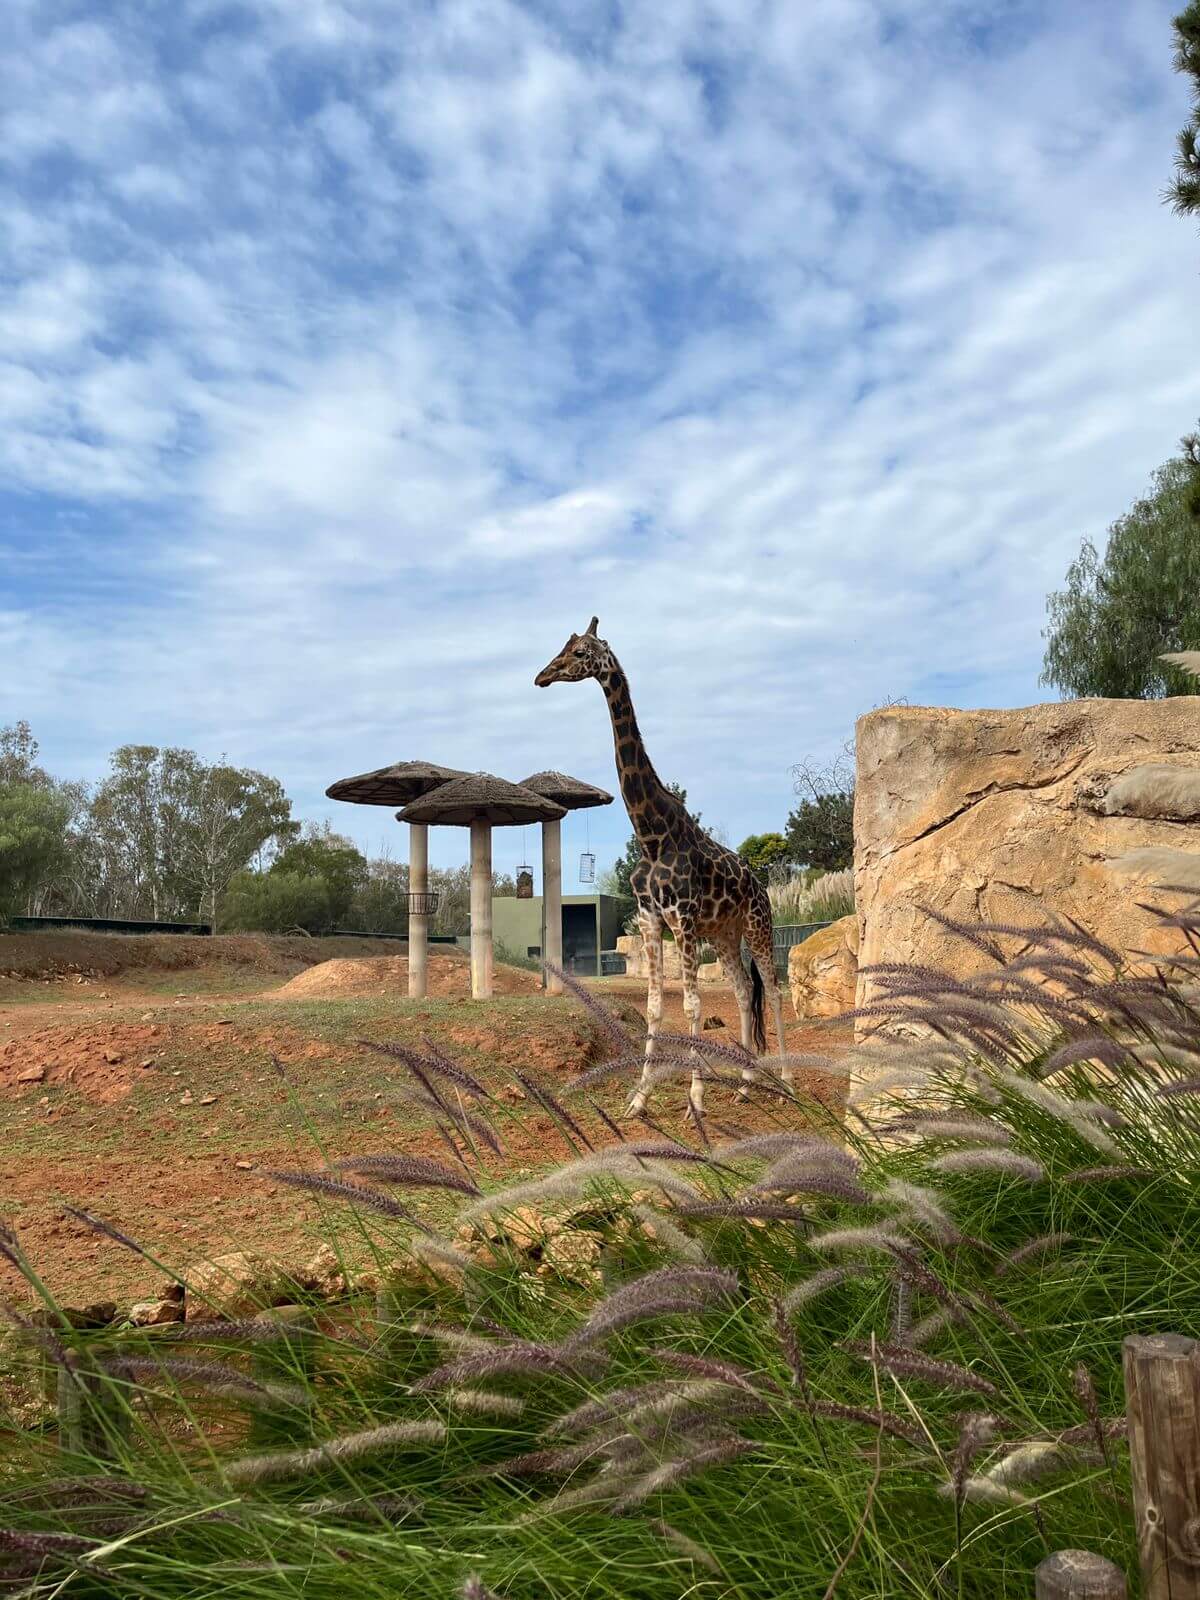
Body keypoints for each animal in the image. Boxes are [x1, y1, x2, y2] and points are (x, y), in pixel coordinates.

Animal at [537, 617, 790, 1120]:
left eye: (581, 652)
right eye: (564, 646)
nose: (543, 676)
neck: (652, 835)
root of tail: (760, 885)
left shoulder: (683, 919)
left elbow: (691, 1005)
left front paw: (694, 1100)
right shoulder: (651, 918)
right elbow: (656, 1007)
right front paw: (639, 1098)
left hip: (757, 925)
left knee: (770, 990)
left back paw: (787, 1080)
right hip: (725, 934)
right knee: (742, 993)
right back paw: (746, 1085)